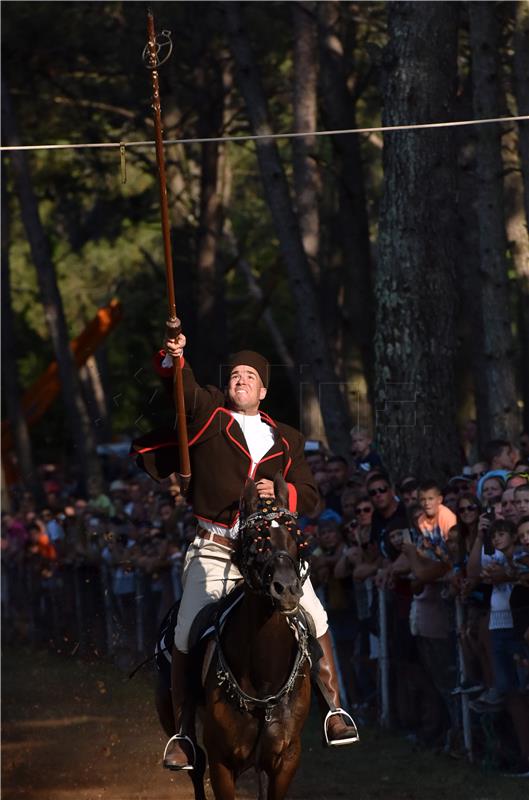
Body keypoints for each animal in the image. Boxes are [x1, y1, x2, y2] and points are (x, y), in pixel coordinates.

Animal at [157, 478, 314, 796]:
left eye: (296, 540)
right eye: (257, 540)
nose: (286, 589)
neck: (264, 679)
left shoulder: (286, 760)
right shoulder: (222, 763)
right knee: (194, 762)